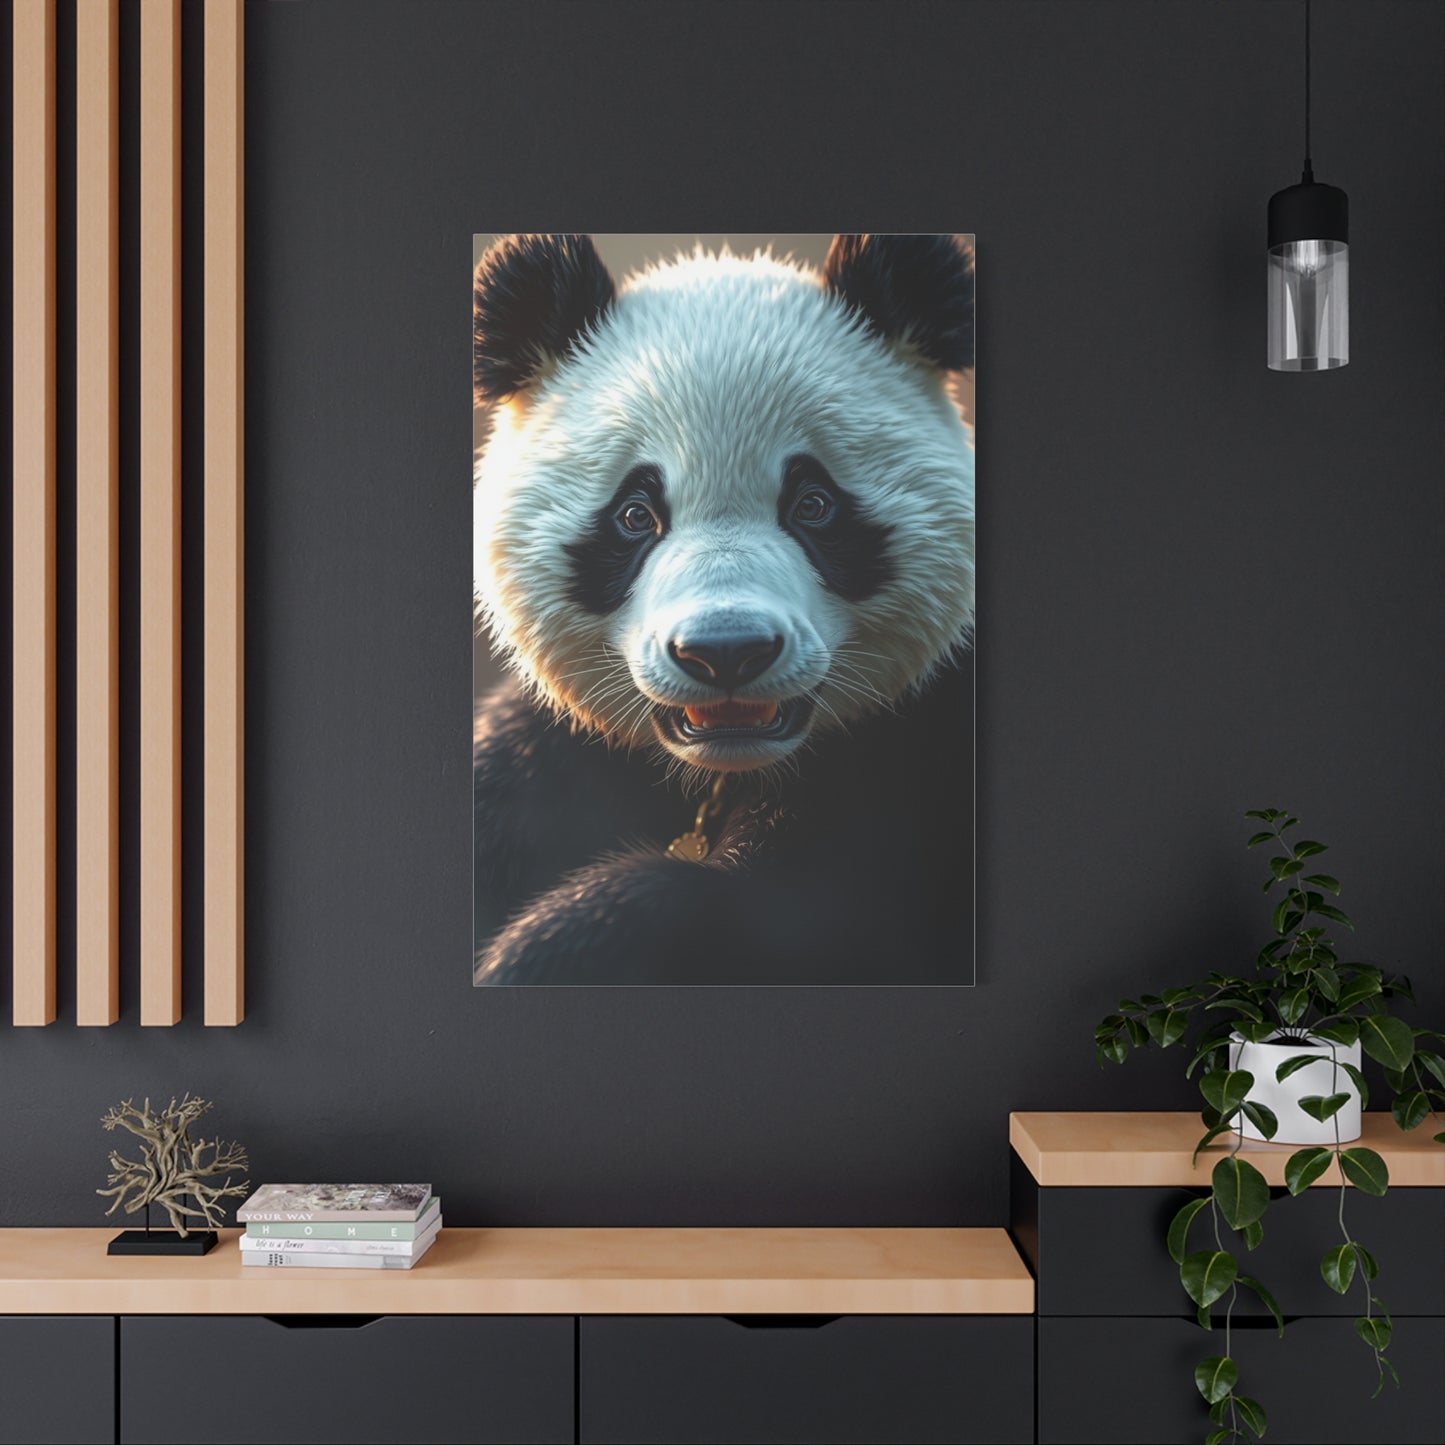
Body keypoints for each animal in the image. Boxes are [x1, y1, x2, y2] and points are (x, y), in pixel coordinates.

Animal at [473, 233, 975, 985]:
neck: (720, 771)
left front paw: (545, 949)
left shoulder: (920, 758)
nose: (726, 651)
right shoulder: (555, 758)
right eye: (635, 514)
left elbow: (803, 925)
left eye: (813, 505)